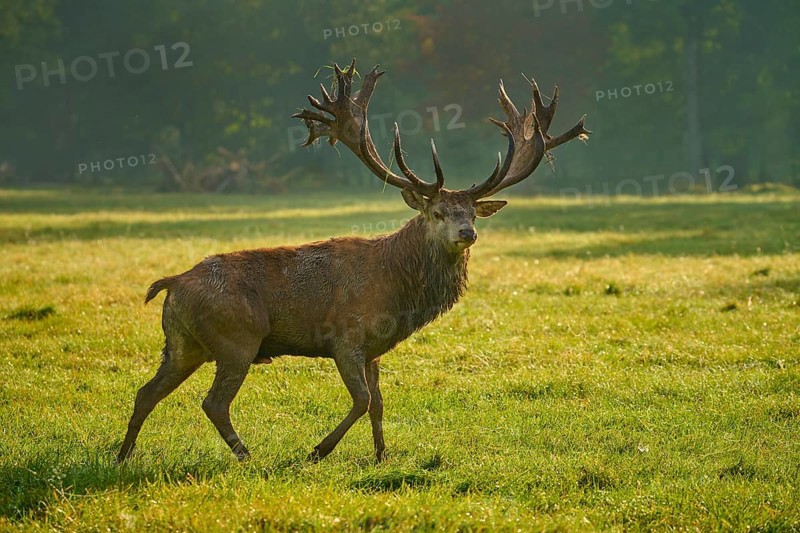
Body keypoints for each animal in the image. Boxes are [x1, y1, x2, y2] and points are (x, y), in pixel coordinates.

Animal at [116, 59, 590, 464]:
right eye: (438, 212)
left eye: (472, 213)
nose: (467, 234)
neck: (398, 289)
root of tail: (173, 282)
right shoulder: (345, 338)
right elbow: (361, 401)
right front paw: (318, 450)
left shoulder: (375, 349)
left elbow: (378, 403)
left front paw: (382, 456)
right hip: (237, 339)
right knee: (213, 402)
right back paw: (246, 455)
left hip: (183, 342)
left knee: (146, 391)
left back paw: (123, 455)